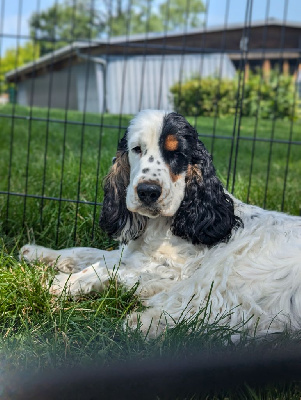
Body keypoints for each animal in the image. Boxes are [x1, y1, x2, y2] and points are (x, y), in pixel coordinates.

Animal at [19, 109, 300, 338]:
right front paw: (38, 253)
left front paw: (59, 283)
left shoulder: (171, 271)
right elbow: (89, 253)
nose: (148, 192)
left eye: (177, 153)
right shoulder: (133, 254)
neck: (162, 226)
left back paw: (142, 324)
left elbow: (105, 269)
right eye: (136, 149)